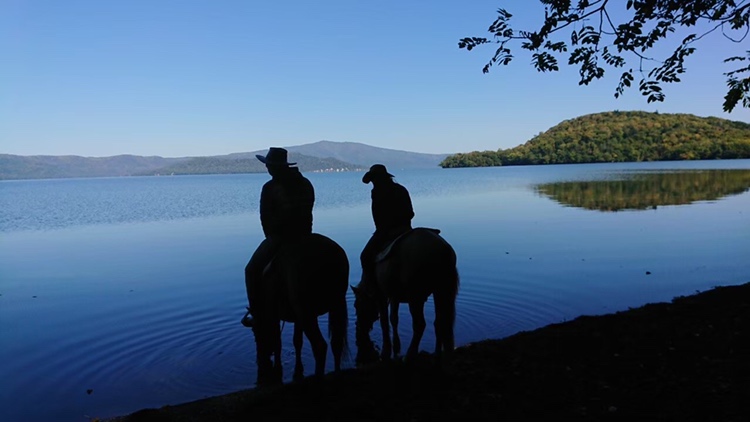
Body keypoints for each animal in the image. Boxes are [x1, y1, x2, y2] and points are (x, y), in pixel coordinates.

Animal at [248, 234, 352, 386]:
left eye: (256, 334)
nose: (261, 359)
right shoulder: (297, 318)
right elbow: (297, 341)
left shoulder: (274, 314)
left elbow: (278, 342)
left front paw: (278, 367)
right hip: (336, 304)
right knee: (336, 342)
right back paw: (337, 373)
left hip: (306, 312)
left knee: (320, 346)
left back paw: (318, 378)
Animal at [352, 227, 458, 362]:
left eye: (356, 306)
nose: (358, 330)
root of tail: (443, 249)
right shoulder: (394, 297)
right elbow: (393, 319)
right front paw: (396, 348)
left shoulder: (382, 296)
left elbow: (385, 321)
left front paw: (387, 352)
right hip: (439, 292)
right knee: (440, 321)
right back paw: (437, 353)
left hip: (416, 298)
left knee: (420, 324)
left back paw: (410, 355)